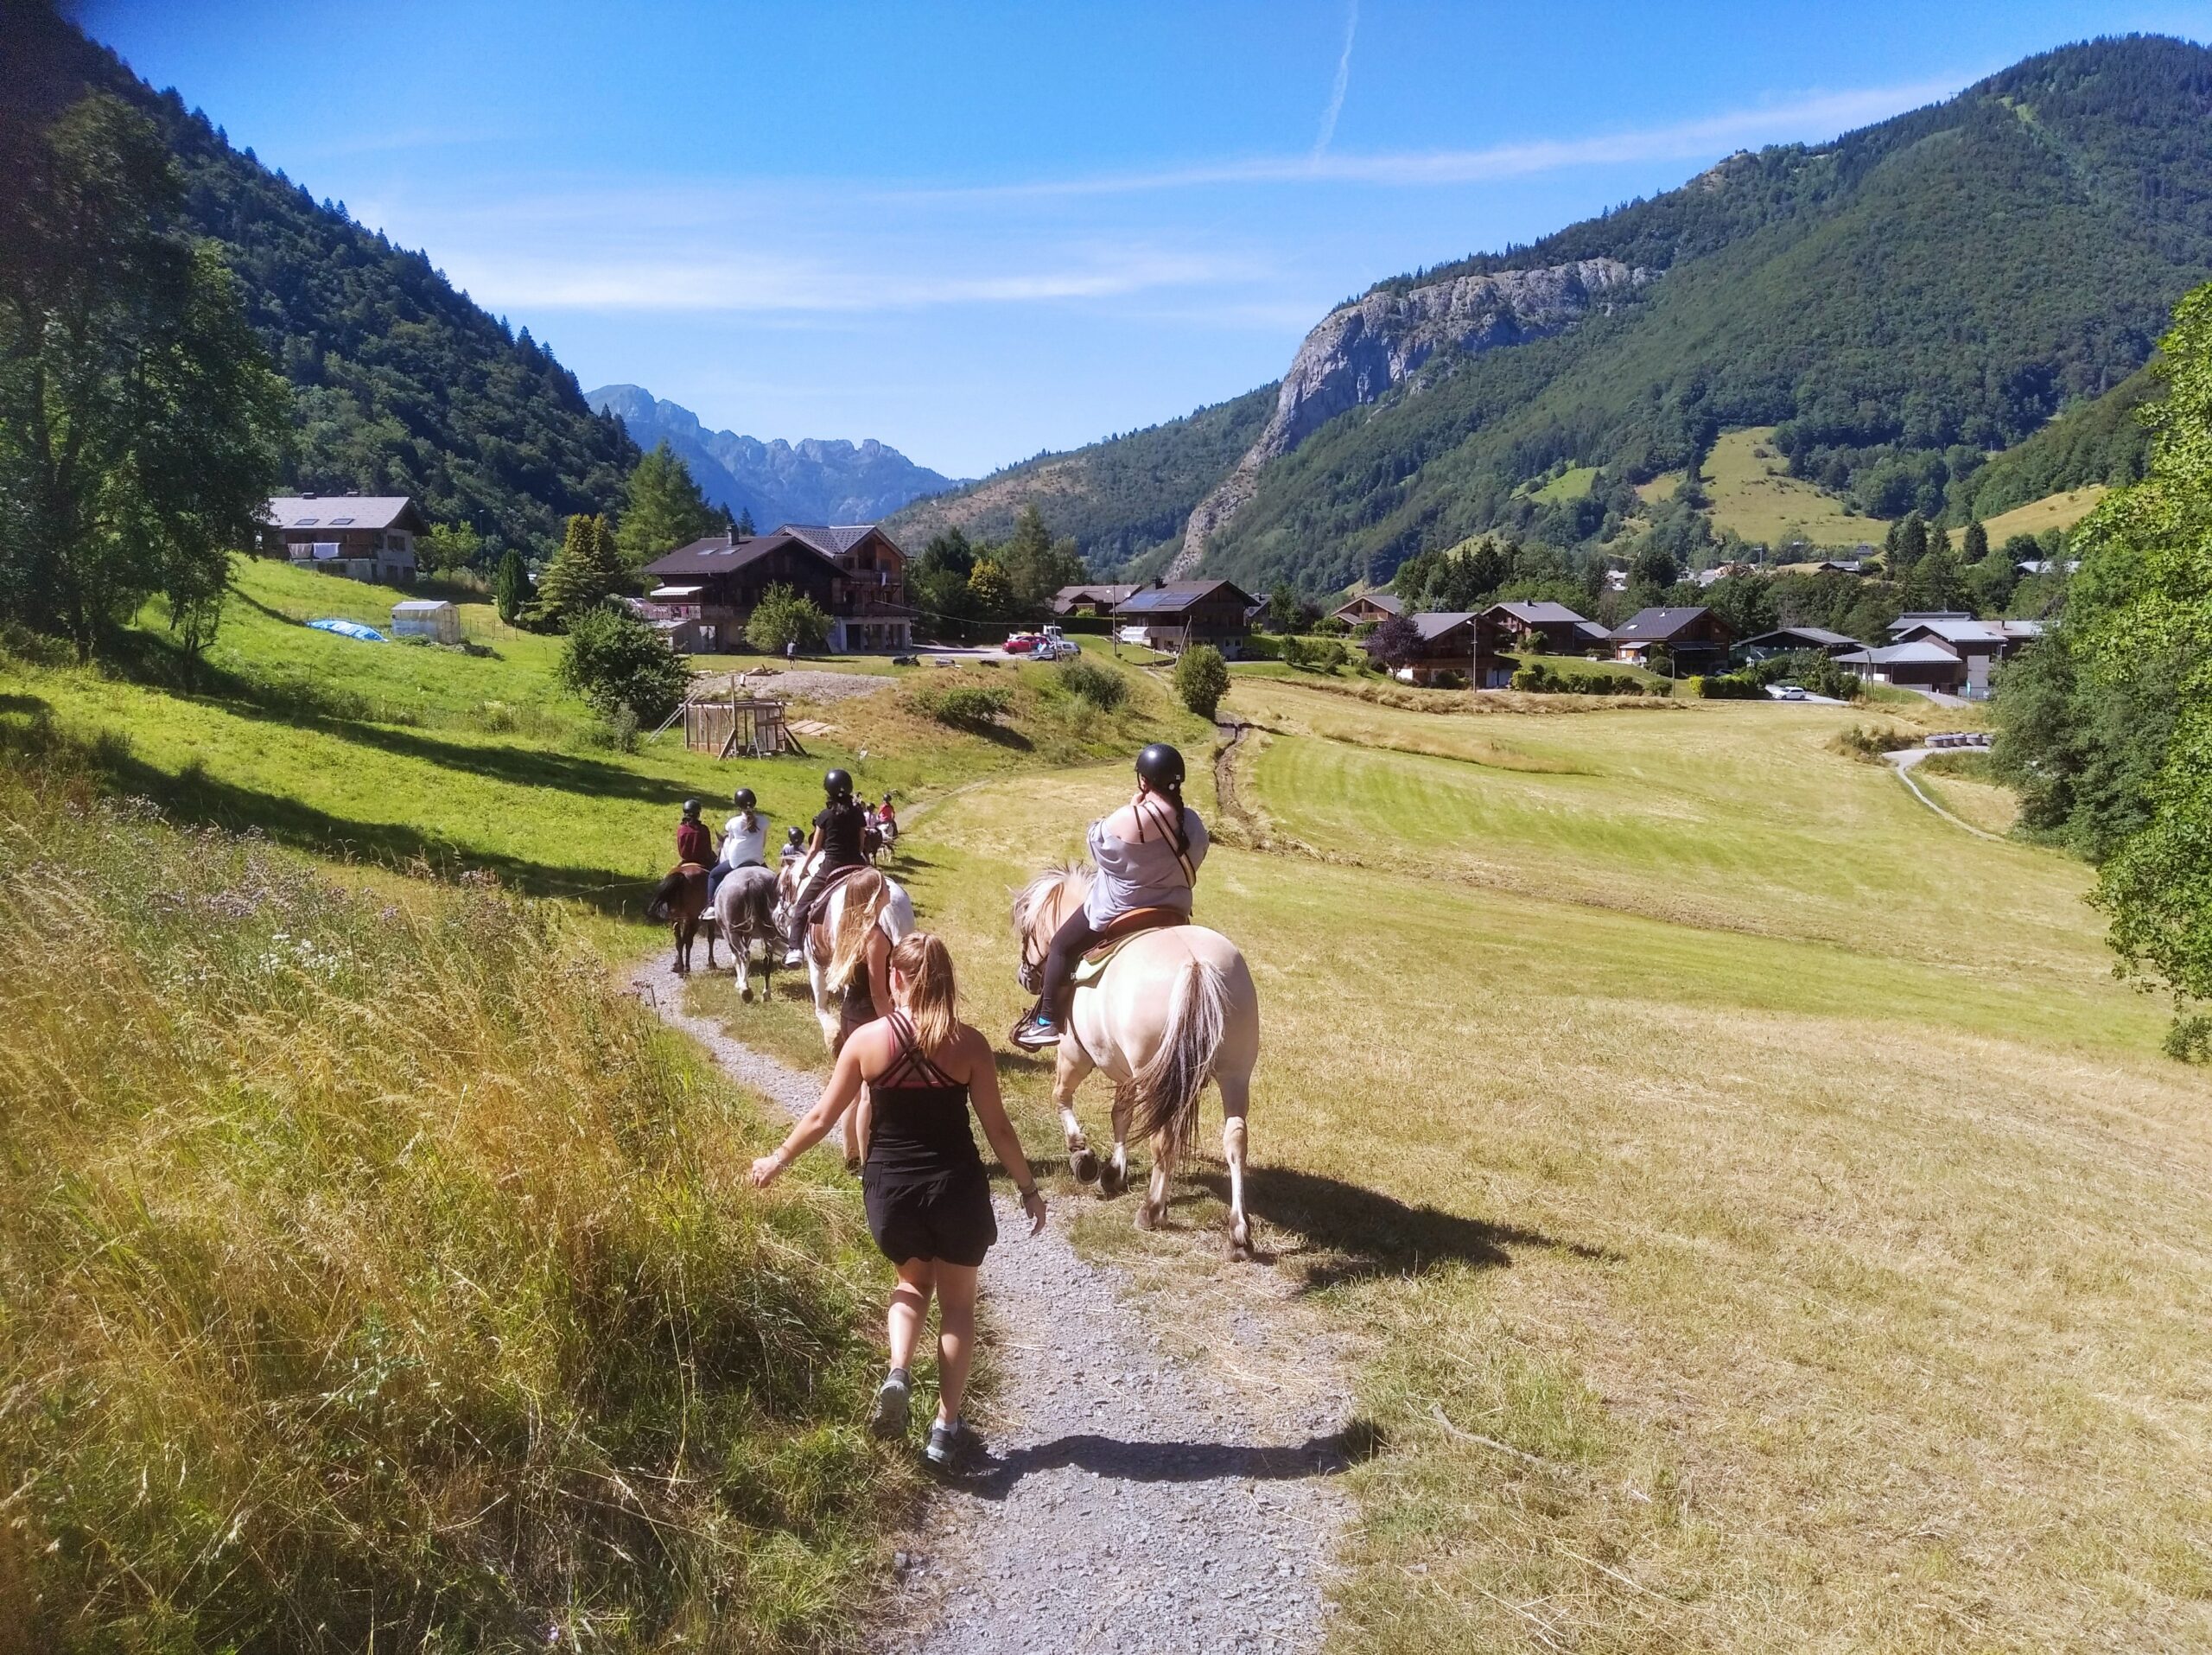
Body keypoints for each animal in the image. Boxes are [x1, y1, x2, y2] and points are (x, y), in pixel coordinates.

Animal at [1013, 867, 1265, 1257]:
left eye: (1027, 929)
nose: (1024, 975)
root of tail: (1197, 964)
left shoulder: (1074, 1055)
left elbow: (1061, 1098)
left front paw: (1083, 1156)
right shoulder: (1126, 1072)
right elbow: (1121, 1114)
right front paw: (1115, 1171)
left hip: (1150, 1074)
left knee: (1163, 1138)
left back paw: (1152, 1210)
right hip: (1235, 1075)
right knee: (1236, 1138)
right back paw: (1239, 1233)